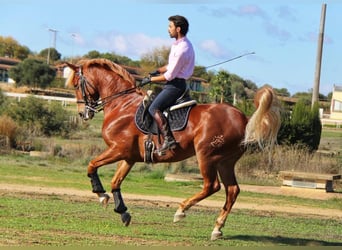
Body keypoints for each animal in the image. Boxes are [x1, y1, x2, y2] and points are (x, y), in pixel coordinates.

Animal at [65, 58, 280, 240]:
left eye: (76, 84)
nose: (82, 114)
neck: (122, 105)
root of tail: (243, 117)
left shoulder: (118, 150)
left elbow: (92, 166)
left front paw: (101, 196)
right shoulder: (129, 157)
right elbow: (115, 181)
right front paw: (123, 212)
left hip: (207, 156)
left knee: (212, 186)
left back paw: (181, 211)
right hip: (225, 162)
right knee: (232, 190)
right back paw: (217, 228)